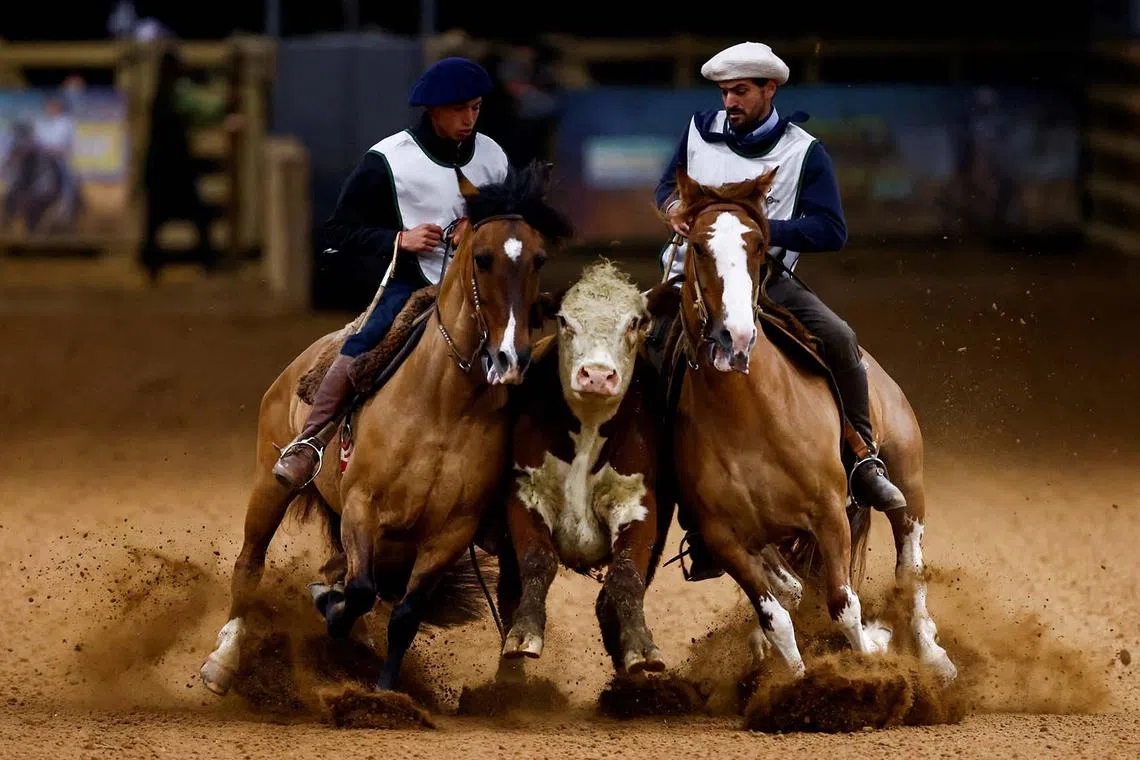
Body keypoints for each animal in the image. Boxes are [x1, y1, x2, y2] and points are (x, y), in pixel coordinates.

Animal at [199, 161, 575, 696]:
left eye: (540, 258)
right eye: (482, 258)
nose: (510, 357)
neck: (443, 406)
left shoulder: (449, 533)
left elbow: (404, 615)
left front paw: (384, 691)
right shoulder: (362, 506)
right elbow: (357, 591)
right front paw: (328, 606)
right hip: (270, 484)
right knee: (249, 565)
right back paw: (224, 660)